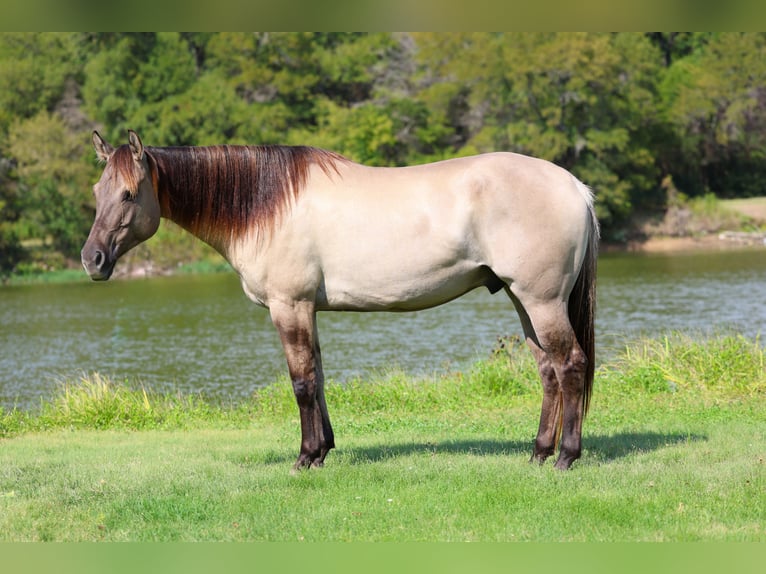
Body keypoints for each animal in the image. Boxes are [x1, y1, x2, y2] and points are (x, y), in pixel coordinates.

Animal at [82, 130, 599, 471]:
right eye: (96, 191)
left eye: (128, 194)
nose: (92, 259)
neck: (268, 205)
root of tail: (575, 186)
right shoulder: (307, 310)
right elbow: (319, 377)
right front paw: (324, 448)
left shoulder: (289, 306)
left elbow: (302, 382)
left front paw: (305, 457)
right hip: (523, 299)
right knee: (548, 371)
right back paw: (537, 452)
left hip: (541, 300)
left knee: (570, 365)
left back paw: (565, 458)